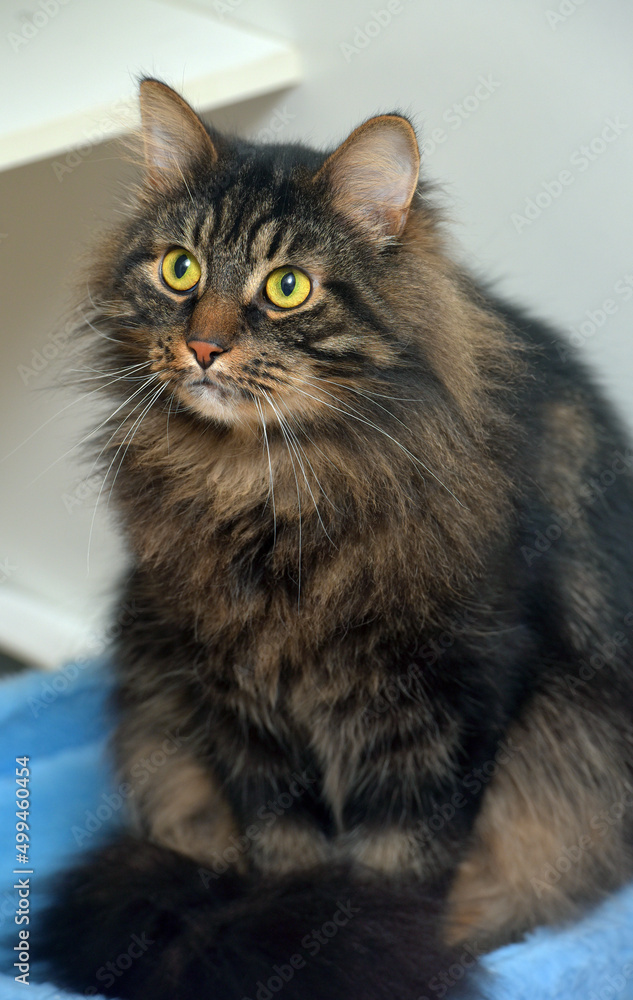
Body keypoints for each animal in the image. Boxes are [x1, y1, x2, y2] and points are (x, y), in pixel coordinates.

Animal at [37, 80, 632, 1000]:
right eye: (181, 268)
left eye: (287, 287)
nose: (203, 346)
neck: (267, 489)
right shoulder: (239, 706)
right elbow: (288, 856)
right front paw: (306, 936)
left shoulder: (444, 707)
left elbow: (399, 864)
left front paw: (379, 948)